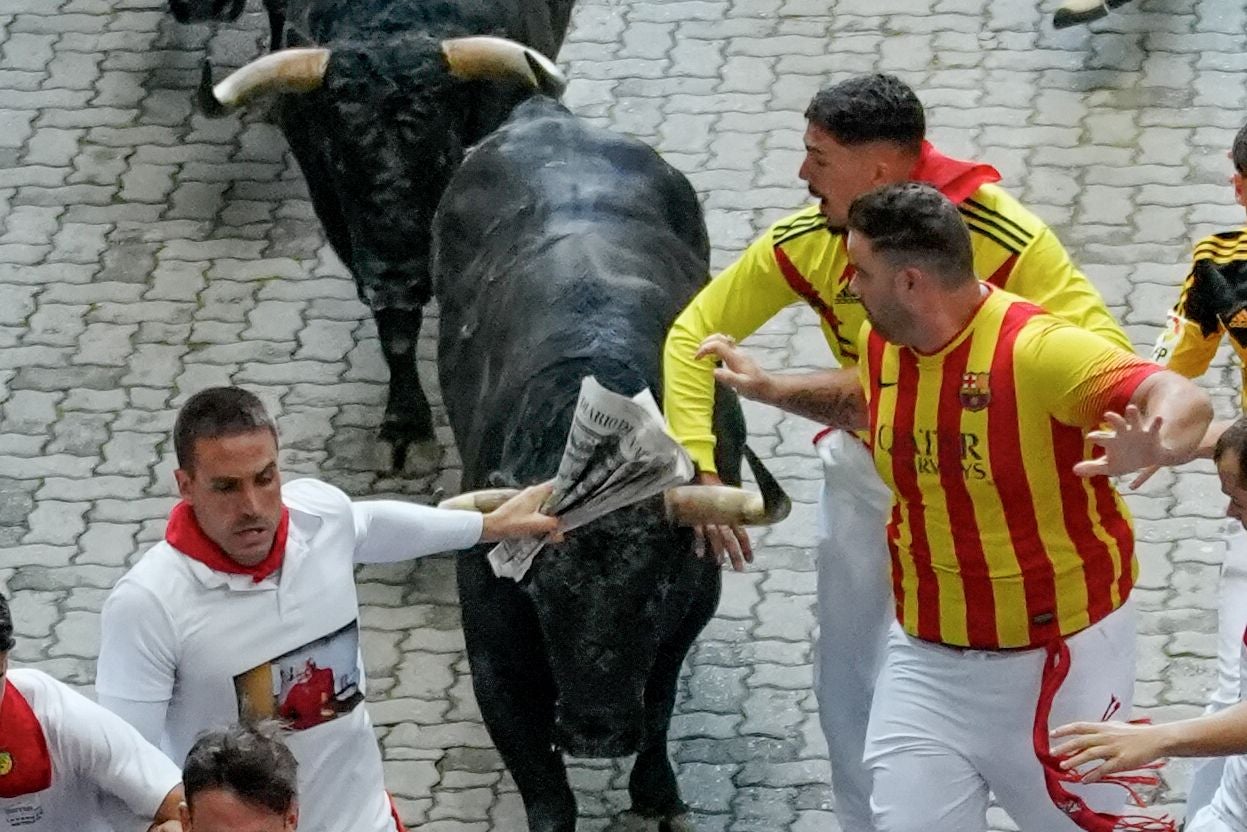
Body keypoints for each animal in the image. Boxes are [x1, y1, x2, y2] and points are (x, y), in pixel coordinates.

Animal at [428, 97, 763, 832]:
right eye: (543, 595)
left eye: (655, 592)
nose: (596, 732)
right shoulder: (491, 641)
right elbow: (542, 779)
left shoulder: (687, 611)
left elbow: (660, 701)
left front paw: (658, 797)